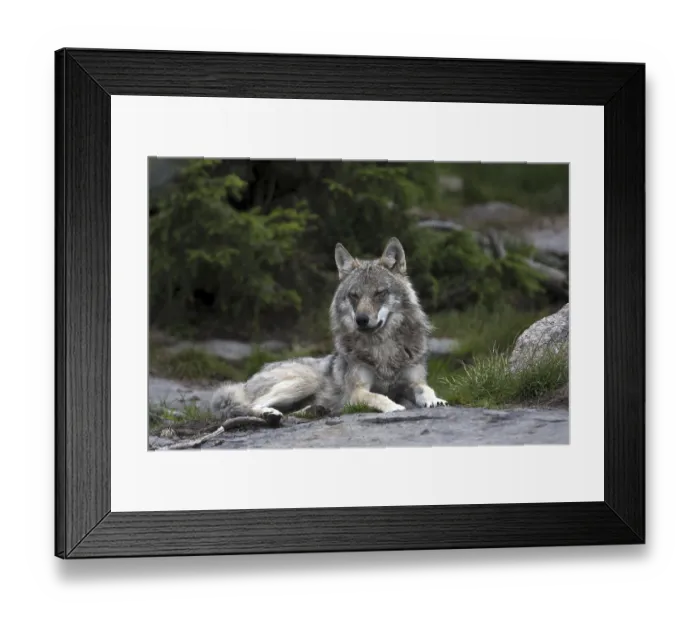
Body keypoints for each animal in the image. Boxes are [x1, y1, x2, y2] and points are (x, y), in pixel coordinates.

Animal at [210, 237, 448, 423]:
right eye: (354, 295)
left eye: (379, 293)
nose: (361, 320)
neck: (382, 349)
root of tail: (246, 381)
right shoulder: (356, 392)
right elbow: (379, 397)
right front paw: (394, 407)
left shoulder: (414, 381)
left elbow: (426, 389)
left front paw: (436, 400)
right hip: (303, 381)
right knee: (251, 405)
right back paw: (270, 414)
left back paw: (314, 410)